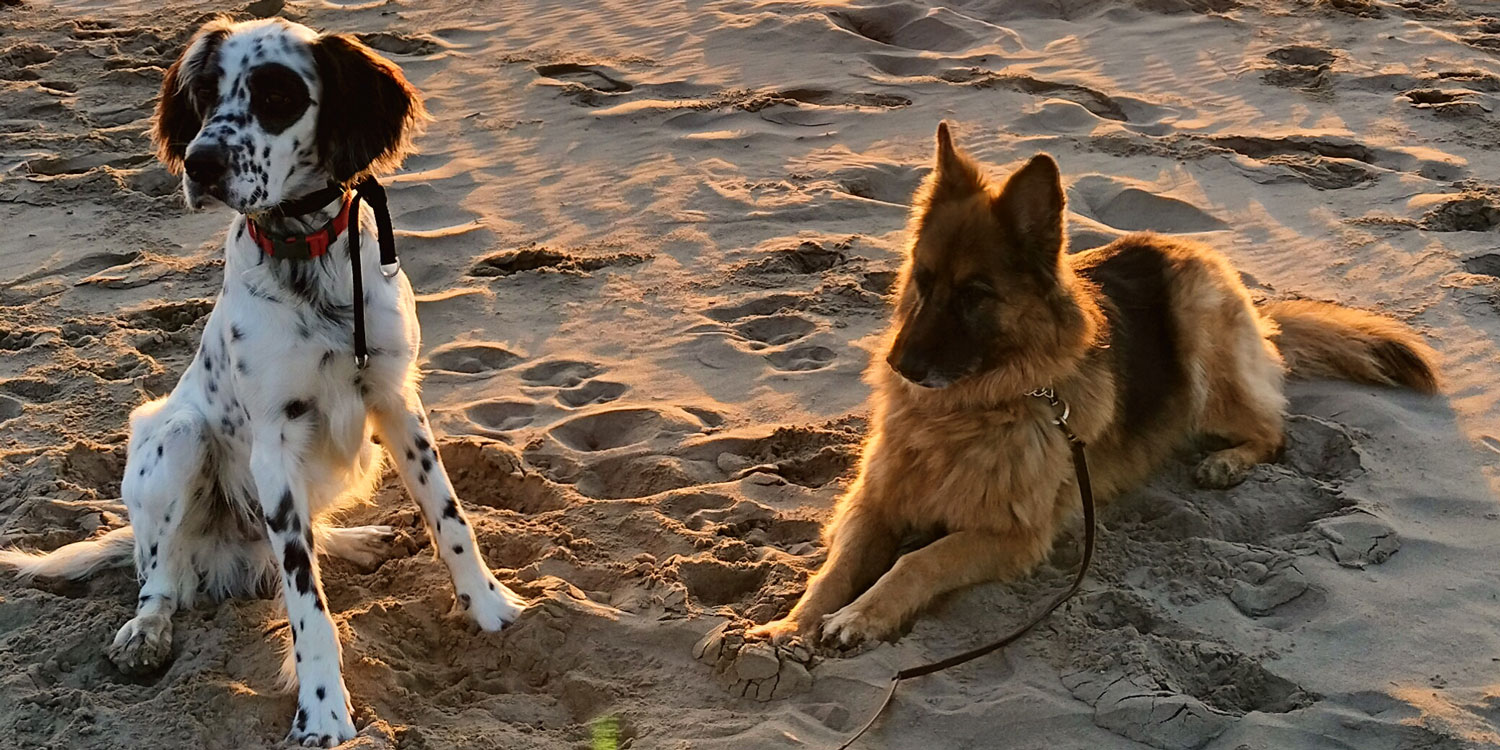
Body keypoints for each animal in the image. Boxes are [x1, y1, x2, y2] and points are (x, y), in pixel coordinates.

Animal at [0, 17, 528, 750]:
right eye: (204, 95)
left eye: (277, 96)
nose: (200, 164)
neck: (306, 255)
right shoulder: (274, 441)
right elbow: (306, 599)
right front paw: (323, 710)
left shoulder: (398, 402)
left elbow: (449, 515)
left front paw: (490, 608)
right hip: (174, 434)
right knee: (161, 576)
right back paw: (146, 630)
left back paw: (360, 540)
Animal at [756, 121, 1434, 645]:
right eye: (921, 282)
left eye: (975, 296)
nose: (899, 366)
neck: (976, 408)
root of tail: (1196, 254)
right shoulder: (873, 501)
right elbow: (836, 568)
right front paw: (789, 624)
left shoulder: (1012, 535)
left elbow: (917, 563)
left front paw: (860, 617)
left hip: (1200, 344)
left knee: (1274, 429)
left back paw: (1228, 461)